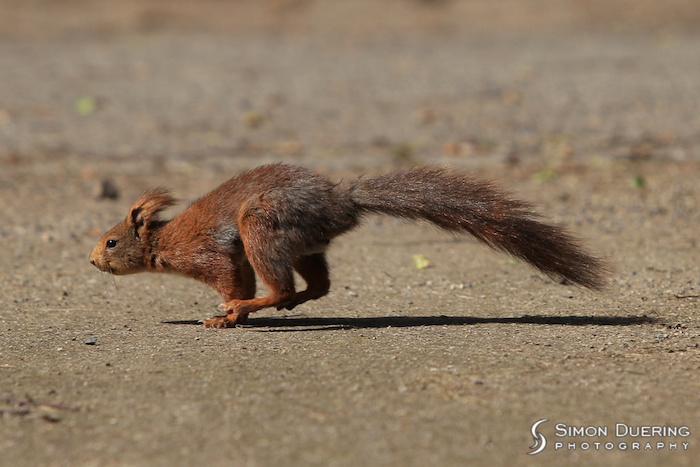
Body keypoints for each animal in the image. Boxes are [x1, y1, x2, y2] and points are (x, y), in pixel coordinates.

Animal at [90, 165, 608, 330]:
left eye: (112, 241)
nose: (92, 260)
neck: (161, 241)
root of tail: (341, 202)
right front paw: (233, 311)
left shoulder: (208, 254)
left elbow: (230, 279)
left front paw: (226, 314)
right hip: (303, 245)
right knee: (318, 286)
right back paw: (291, 302)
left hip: (261, 226)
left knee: (280, 285)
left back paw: (258, 305)